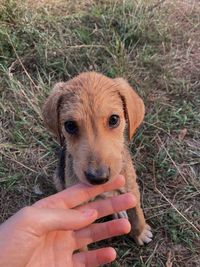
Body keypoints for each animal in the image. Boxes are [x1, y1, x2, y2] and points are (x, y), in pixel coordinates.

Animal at [42, 72, 152, 246]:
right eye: (70, 126)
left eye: (114, 119)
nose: (98, 178)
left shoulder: (131, 188)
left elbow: (136, 213)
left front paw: (140, 233)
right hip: (58, 179)